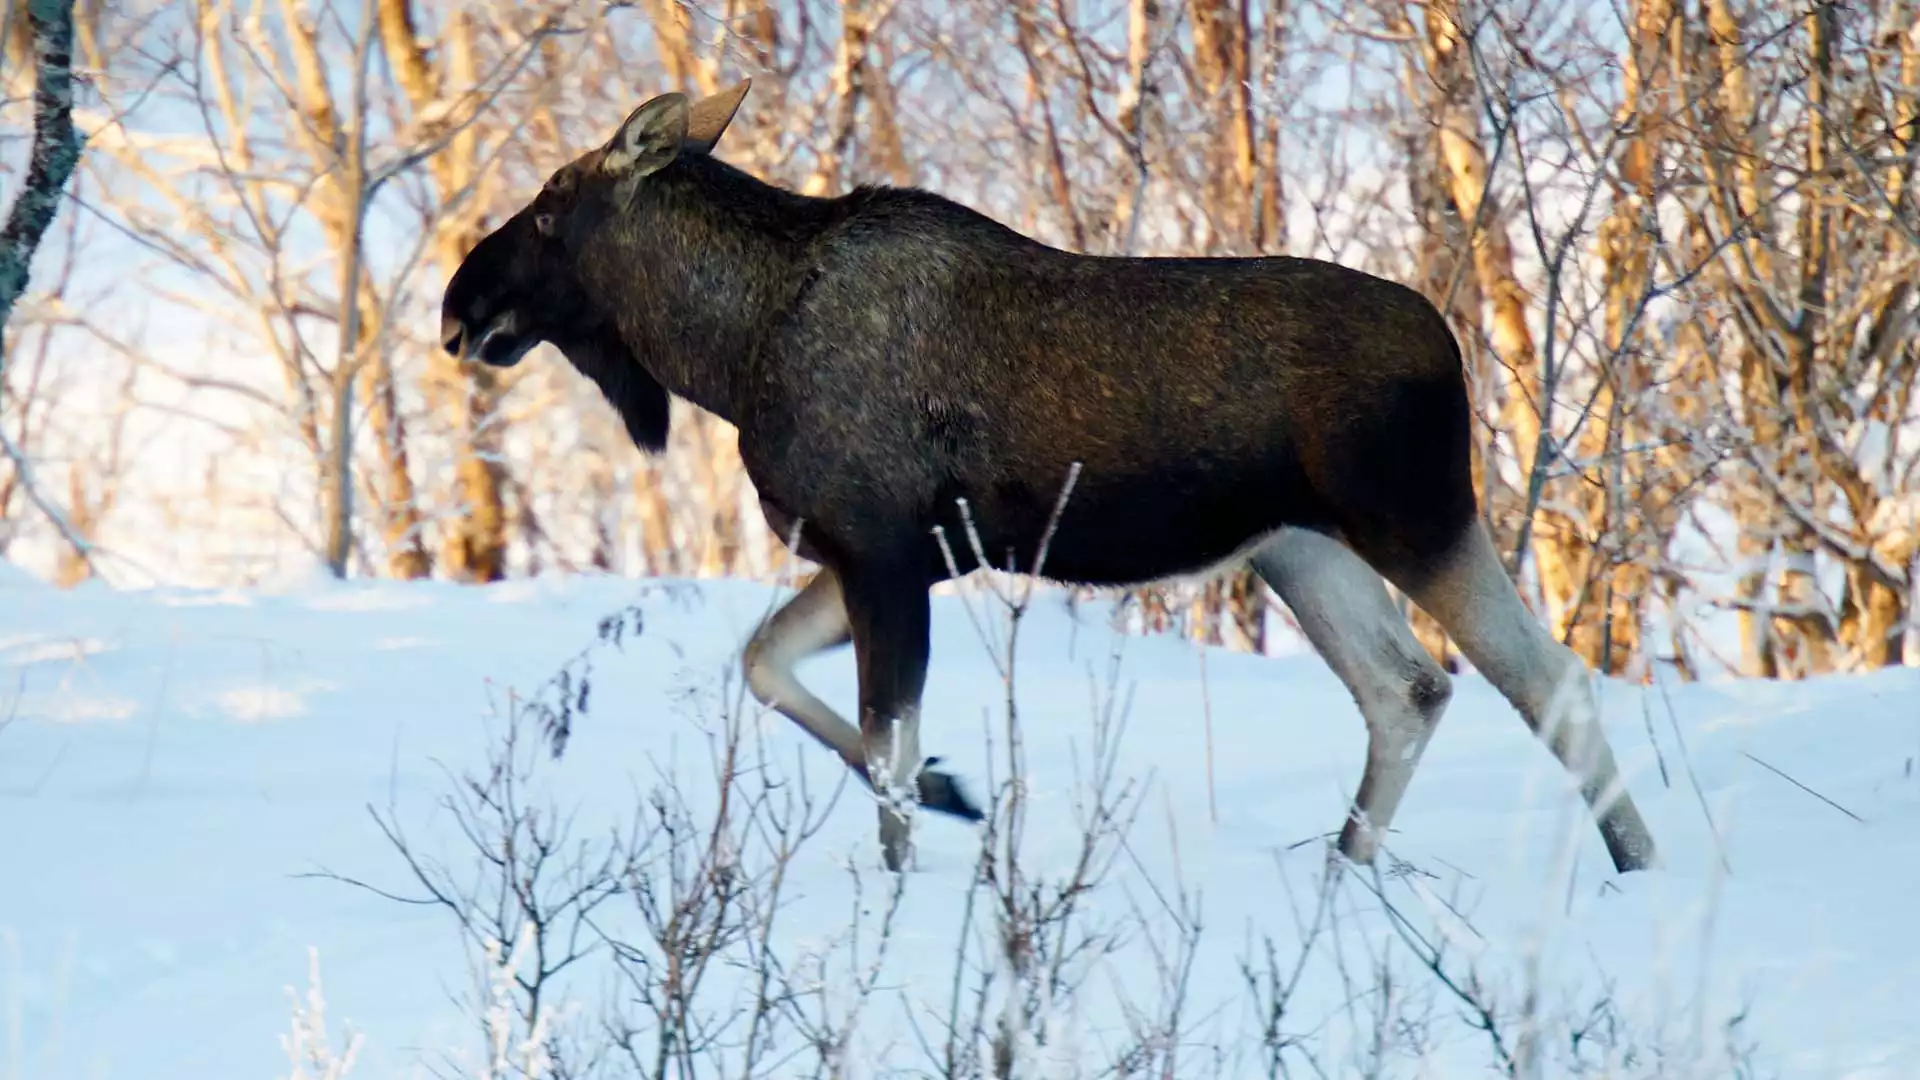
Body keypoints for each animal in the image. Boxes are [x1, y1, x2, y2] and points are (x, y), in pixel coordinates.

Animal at [432, 84, 1651, 876]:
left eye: (551, 207)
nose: (458, 305)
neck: (727, 351)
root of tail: (1450, 347)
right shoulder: (889, 553)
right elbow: (769, 667)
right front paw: (955, 790)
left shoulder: (883, 551)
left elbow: (879, 742)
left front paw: (911, 861)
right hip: (1298, 548)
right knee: (1408, 688)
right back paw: (1347, 871)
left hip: (1414, 519)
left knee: (1547, 679)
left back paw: (1634, 863)